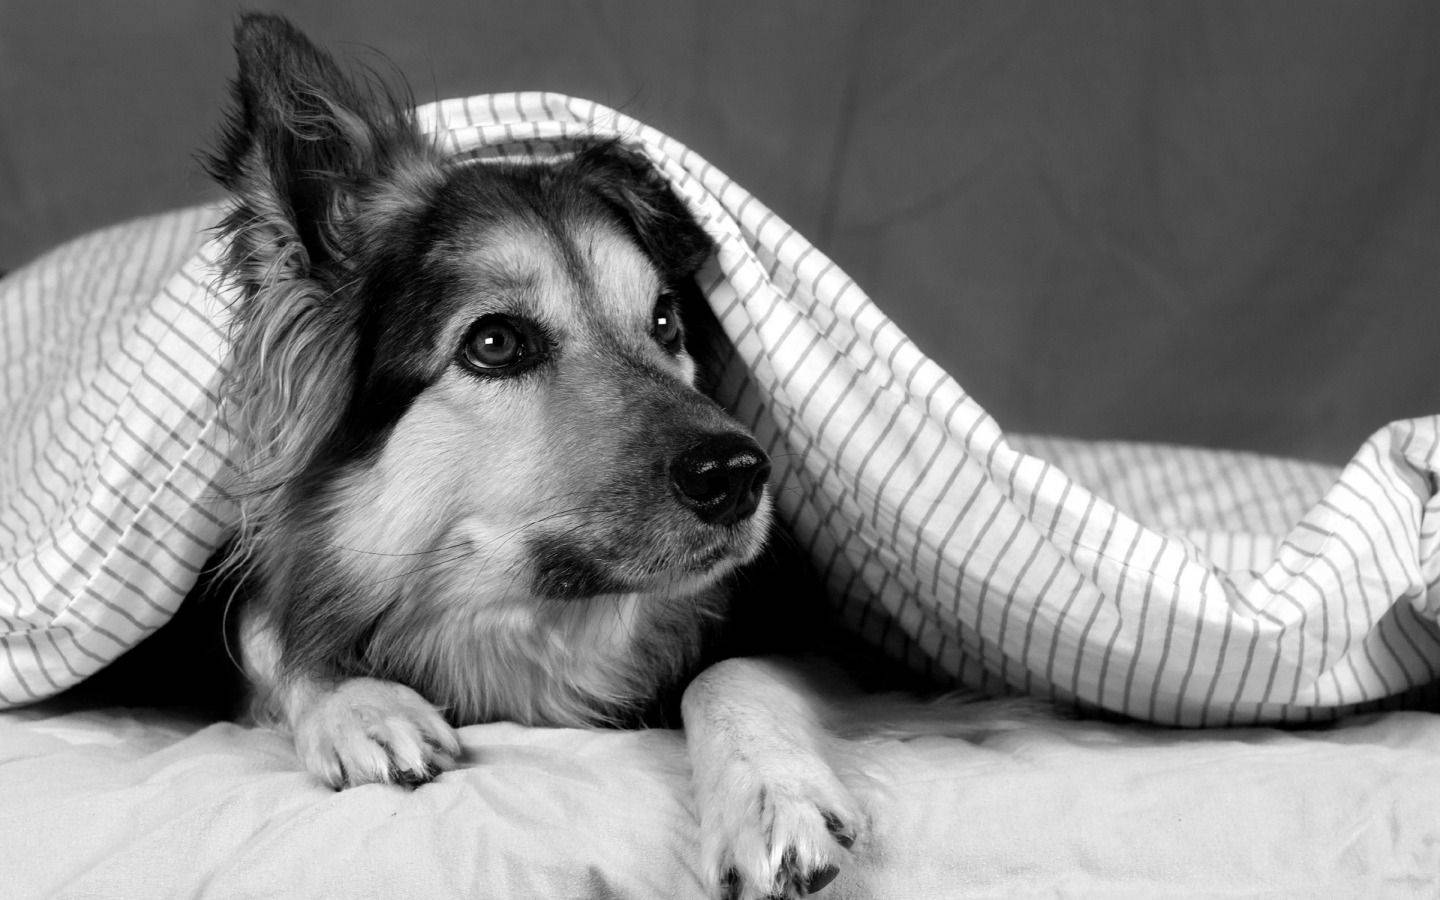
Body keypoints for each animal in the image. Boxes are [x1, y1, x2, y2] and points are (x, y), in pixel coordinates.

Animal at [191, 14, 887, 898]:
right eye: (494, 343)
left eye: (666, 323)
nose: (738, 475)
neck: (534, 628)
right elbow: (267, 626)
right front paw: (355, 701)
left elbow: (728, 672)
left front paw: (772, 795)